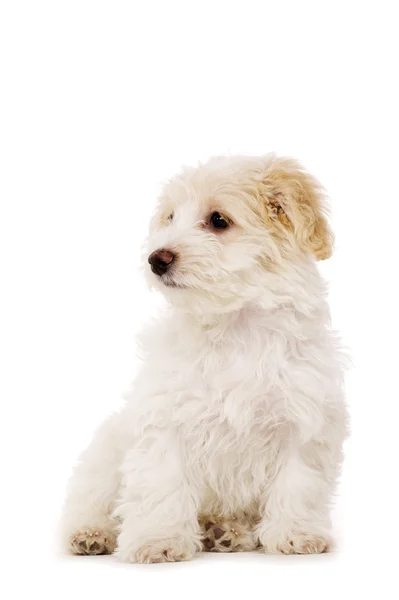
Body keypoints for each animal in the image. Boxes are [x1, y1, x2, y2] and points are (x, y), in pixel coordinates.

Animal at [61, 154, 348, 564]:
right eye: (170, 217)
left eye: (218, 220)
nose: (156, 259)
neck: (234, 325)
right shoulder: (166, 420)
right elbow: (162, 483)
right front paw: (158, 540)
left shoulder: (303, 421)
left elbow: (298, 482)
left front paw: (296, 534)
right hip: (105, 452)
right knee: (90, 500)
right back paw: (90, 534)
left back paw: (225, 531)